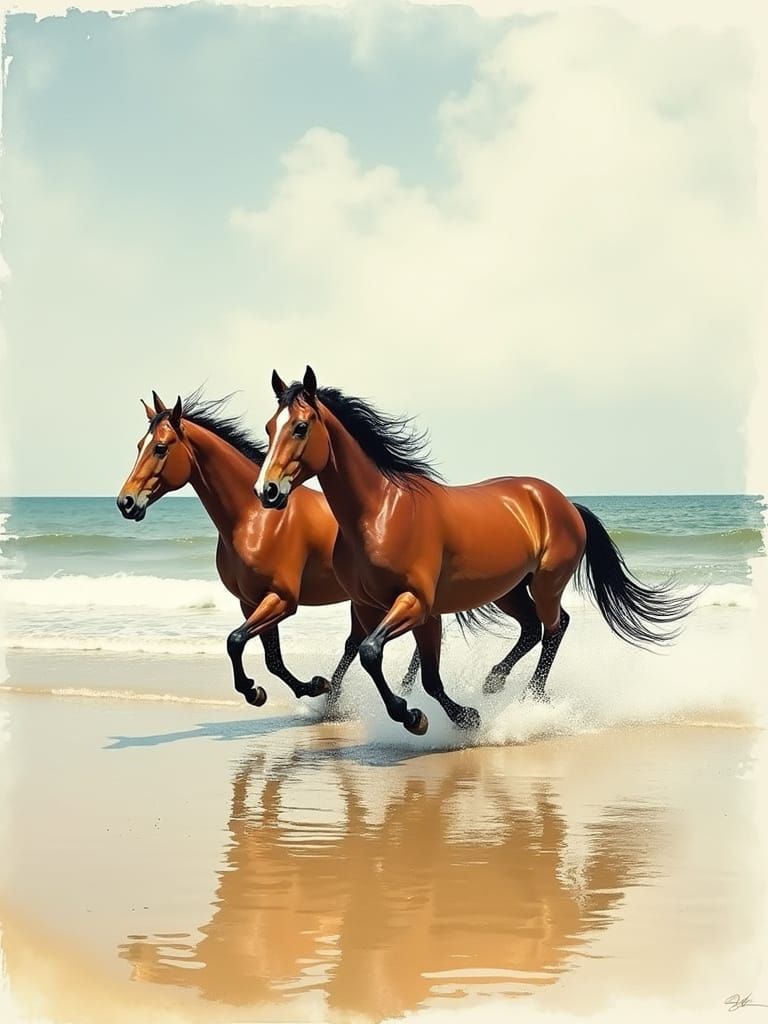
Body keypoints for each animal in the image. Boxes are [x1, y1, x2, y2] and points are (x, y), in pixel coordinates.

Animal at [116, 389, 419, 708]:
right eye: (140, 446)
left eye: (160, 448)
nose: (126, 502)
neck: (254, 519)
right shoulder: (251, 601)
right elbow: (269, 658)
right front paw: (305, 687)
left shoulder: (280, 599)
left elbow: (236, 640)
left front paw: (265, 690)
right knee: (357, 642)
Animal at [255, 366, 696, 736]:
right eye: (269, 427)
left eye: (300, 427)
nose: (267, 491)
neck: (379, 512)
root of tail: (565, 504)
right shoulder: (370, 606)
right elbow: (383, 660)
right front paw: (437, 715)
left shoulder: (417, 603)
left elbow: (377, 655)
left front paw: (436, 717)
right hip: (507, 590)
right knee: (532, 628)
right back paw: (493, 681)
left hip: (547, 583)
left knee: (555, 627)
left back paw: (530, 703)